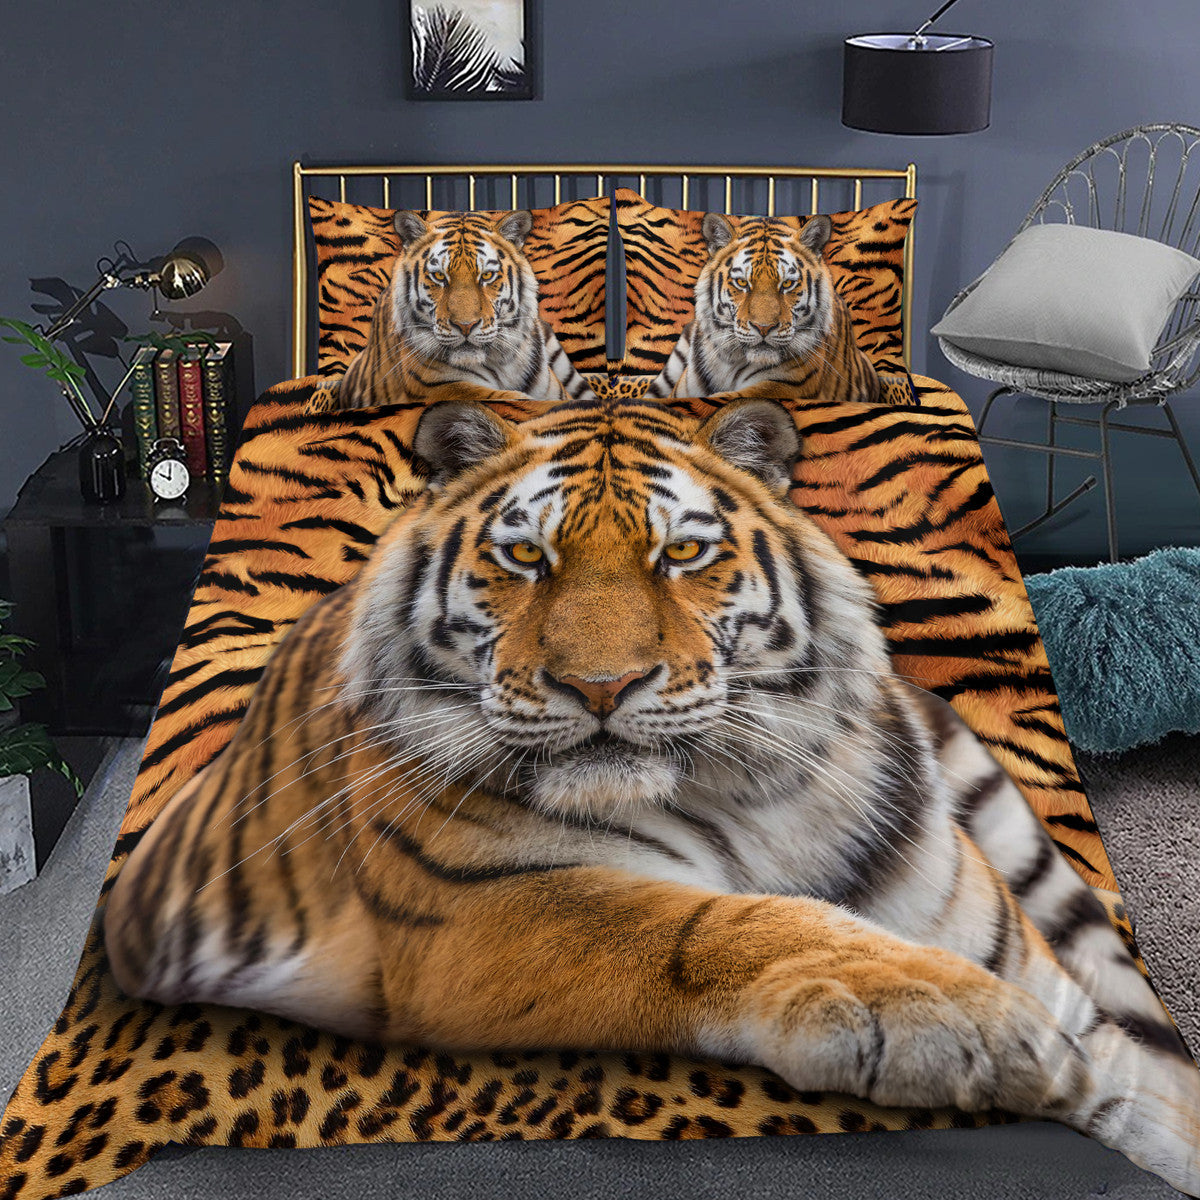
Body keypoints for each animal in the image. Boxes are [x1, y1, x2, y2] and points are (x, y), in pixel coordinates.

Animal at [104, 398, 1200, 1196]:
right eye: (524, 556)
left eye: (683, 554)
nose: (600, 687)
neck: (759, 802)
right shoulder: (478, 916)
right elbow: (716, 924)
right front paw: (967, 1026)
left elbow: (1149, 1086)